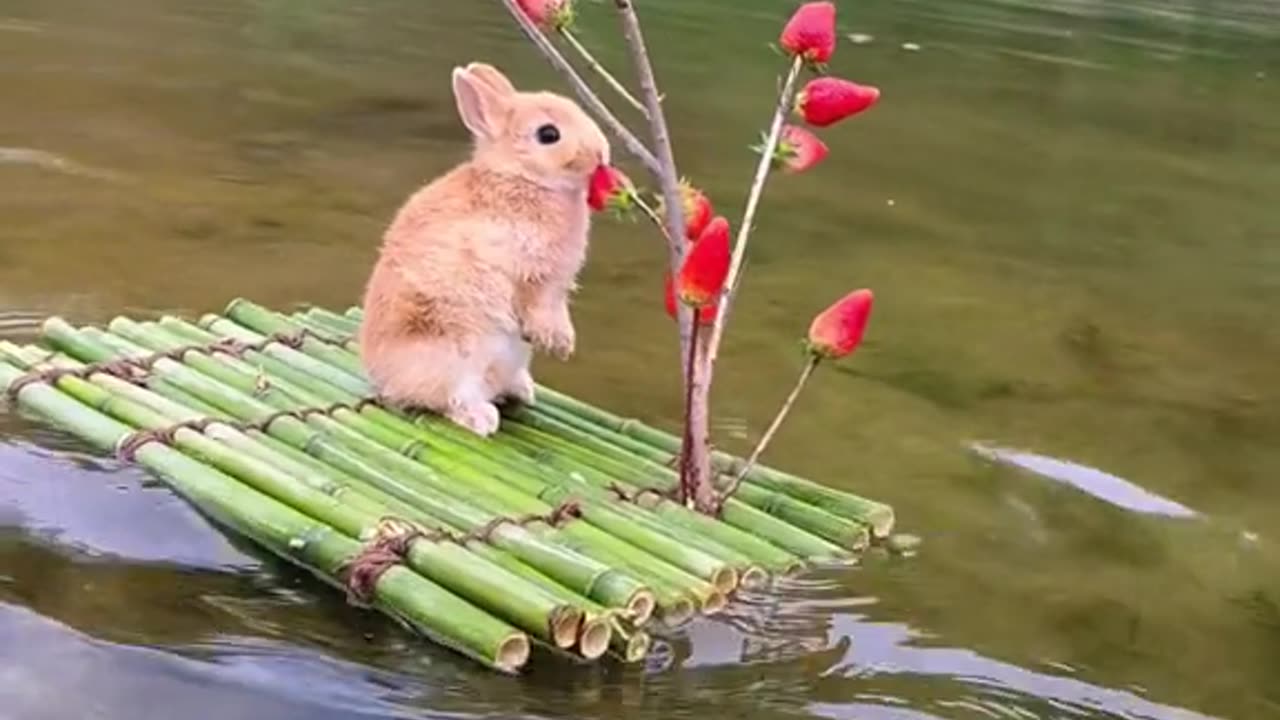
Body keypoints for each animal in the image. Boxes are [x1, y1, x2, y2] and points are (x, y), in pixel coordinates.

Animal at [353, 61, 606, 435]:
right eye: (548, 134)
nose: (601, 153)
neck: (520, 178)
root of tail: (384, 381)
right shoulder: (531, 278)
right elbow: (541, 309)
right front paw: (557, 344)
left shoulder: (555, 286)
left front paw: (562, 344)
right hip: (455, 358)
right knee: (451, 402)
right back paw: (483, 418)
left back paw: (522, 390)